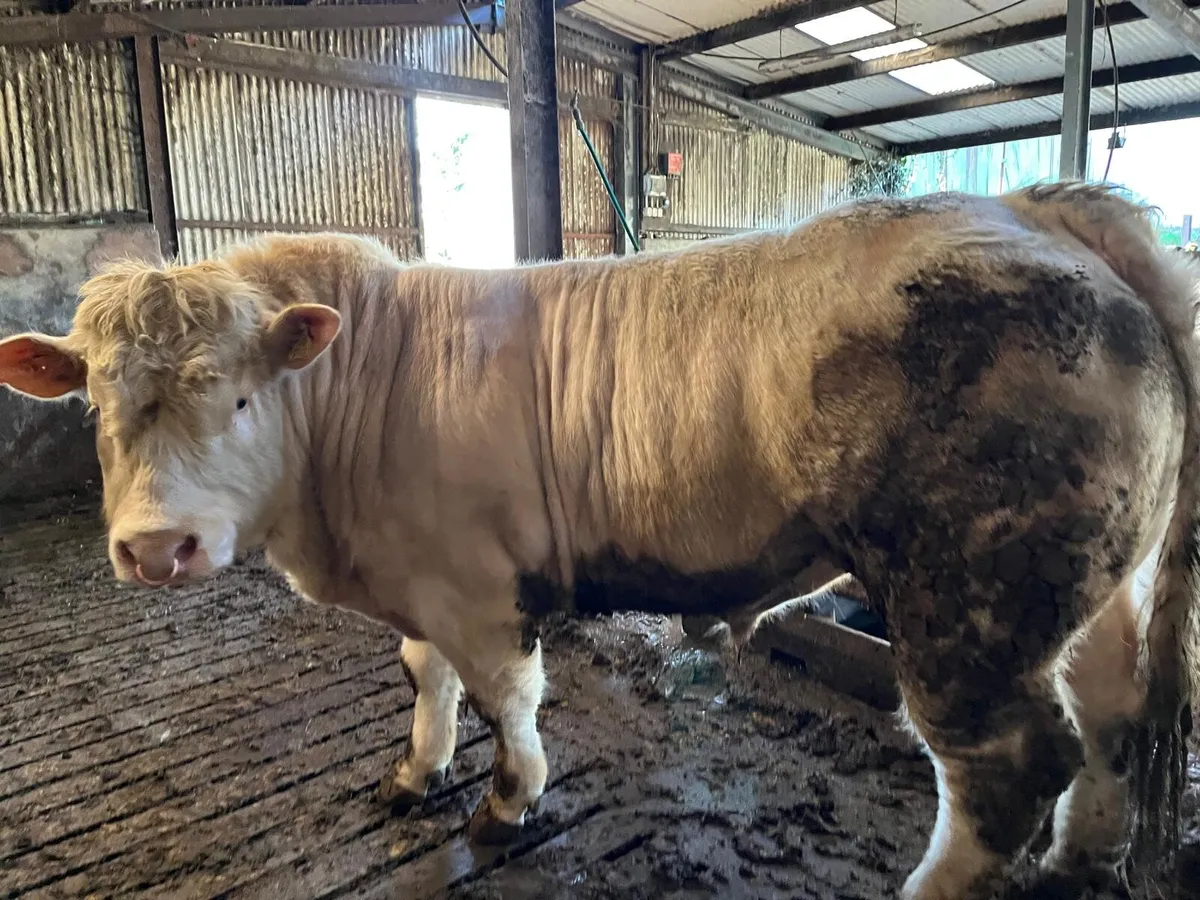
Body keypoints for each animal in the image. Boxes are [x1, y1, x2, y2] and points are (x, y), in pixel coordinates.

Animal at [1, 183, 1197, 900]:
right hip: (1089, 588)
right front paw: (416, 772)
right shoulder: (419, 581)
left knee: (1005, 765)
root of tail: (1029, 208)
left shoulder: (479, 586)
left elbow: (506, 698)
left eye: (241, 396)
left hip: (967, 603)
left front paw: (506, 801)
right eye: (96, 405)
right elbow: (426, 679)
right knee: (1108, 715)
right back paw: (1081, 859)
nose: (158, 548)